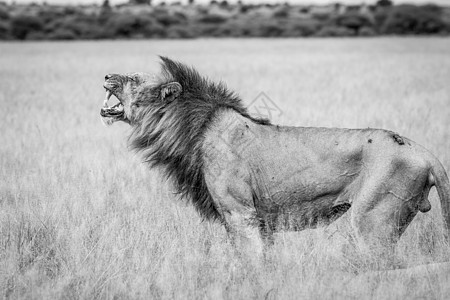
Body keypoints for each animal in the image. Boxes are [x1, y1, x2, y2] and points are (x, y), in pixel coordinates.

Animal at [100, 57, 448, 258]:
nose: (105, 76)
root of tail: (427, 154)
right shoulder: (258, 222)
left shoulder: (240, 214)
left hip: (371, 223)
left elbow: (250, 265)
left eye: (133, 79)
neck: (189, 129)